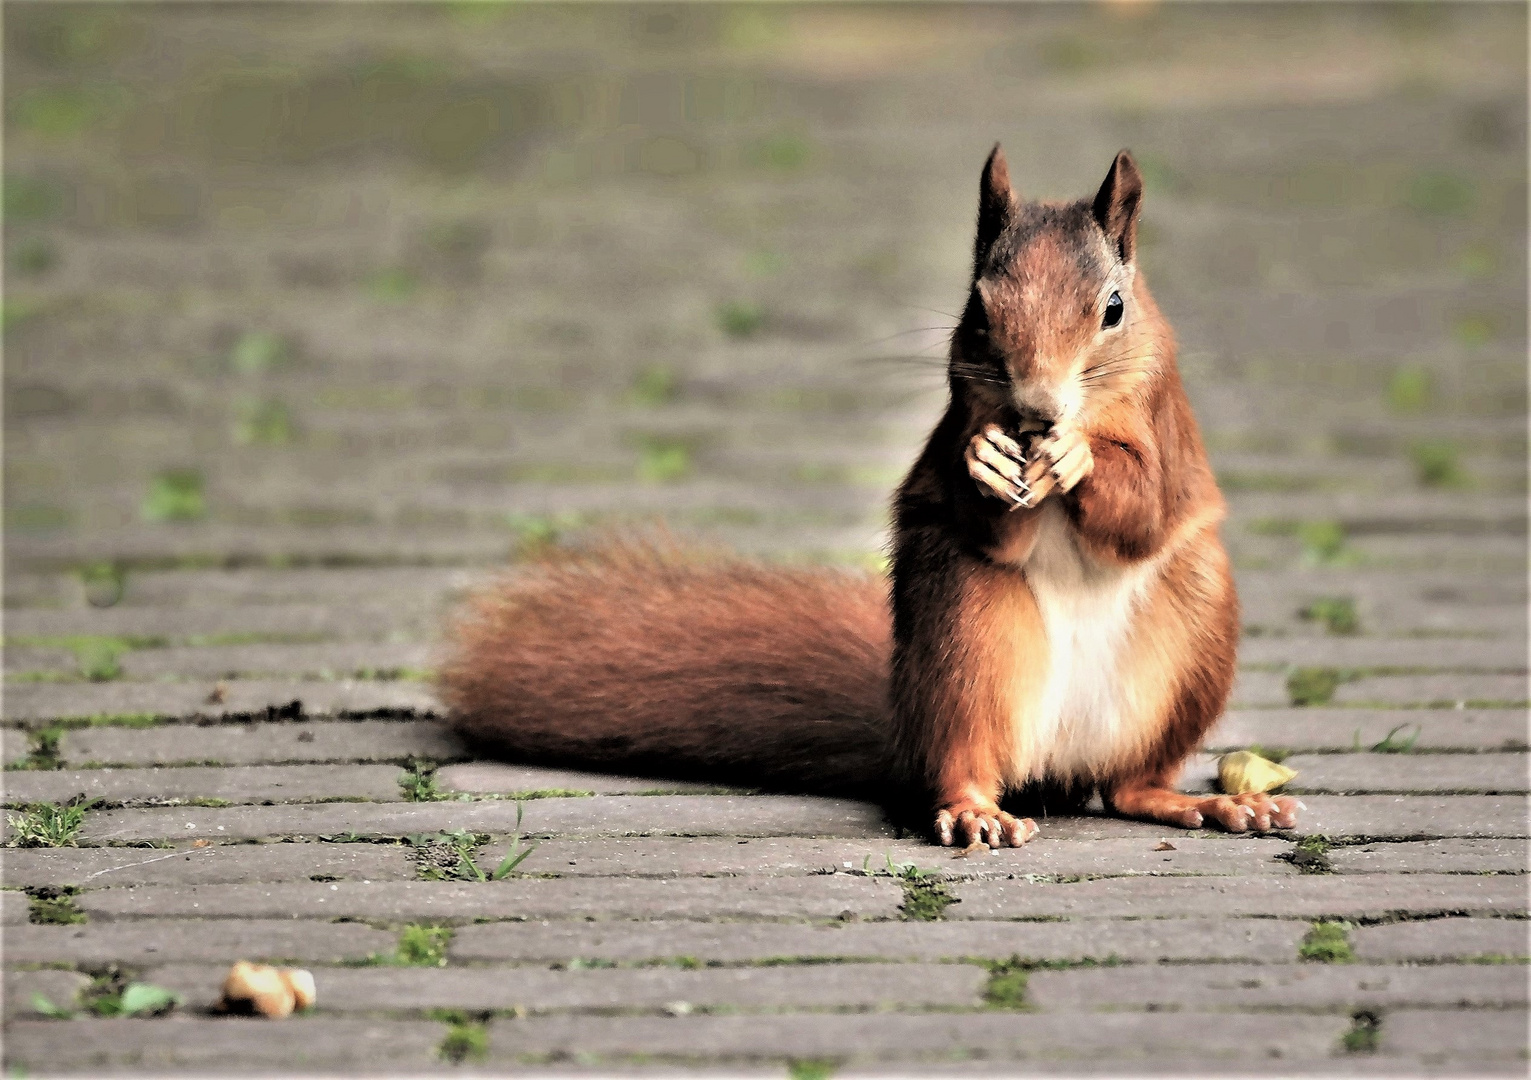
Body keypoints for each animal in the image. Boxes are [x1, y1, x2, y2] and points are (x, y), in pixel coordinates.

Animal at [437, 147, 1298, 845]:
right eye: (977, 309)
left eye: (1113, 309)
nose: (1035, 410)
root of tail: (1054, 769)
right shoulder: (962, 431)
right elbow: (988, 516)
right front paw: (985, 460)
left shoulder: (1164, 435)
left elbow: (1142, 507)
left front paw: (1077, 454)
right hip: (967, 634)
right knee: (967, 763)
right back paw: (977, 811)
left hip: (1190, 636)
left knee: (1127, 788)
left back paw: (1213, 802)